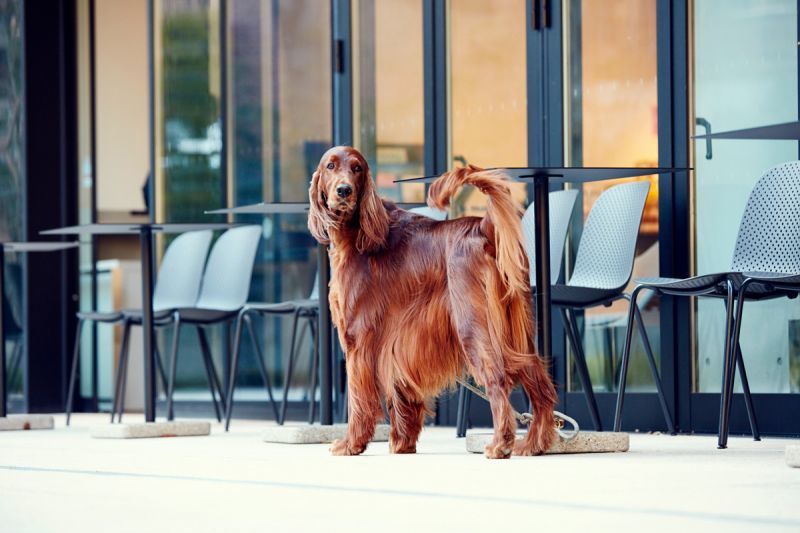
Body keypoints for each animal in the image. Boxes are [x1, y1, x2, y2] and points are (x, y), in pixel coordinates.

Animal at [306, 145, 556, 458]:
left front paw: (351, 444)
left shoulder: (358, 340)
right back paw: (534, 443)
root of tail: (483, 227)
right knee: (538, 380)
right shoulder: (397, 342)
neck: (358, 232)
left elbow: (357, 398)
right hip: (517, 331)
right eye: (330, 166)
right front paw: (402, 443)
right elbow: (401, 392)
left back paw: (500, 444)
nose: (343, 190)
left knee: (498, 378)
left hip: (473, 326)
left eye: (357, 168)